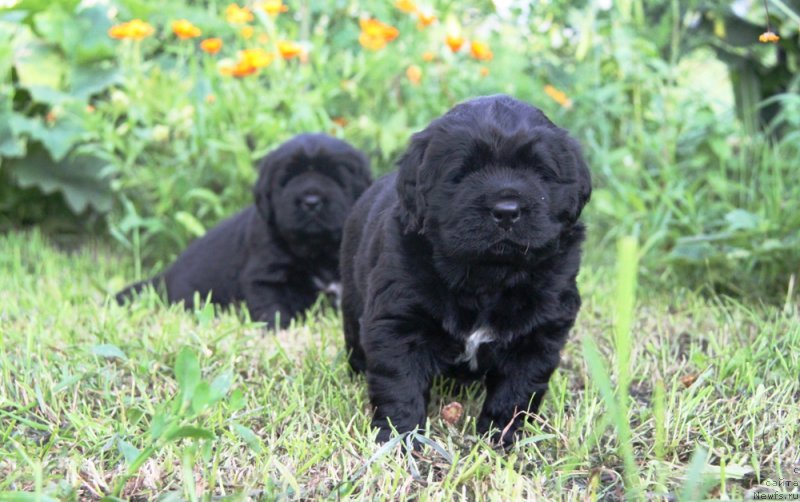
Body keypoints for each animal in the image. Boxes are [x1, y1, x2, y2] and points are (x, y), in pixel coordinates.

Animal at [117, 133, 374, 328]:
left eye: (337, 177)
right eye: (287, 180)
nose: (311, 201)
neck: (317, 249)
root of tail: (164, 276)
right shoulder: (266, 276)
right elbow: (273, 305)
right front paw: (279, 329)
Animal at [340, 94, 592, 444]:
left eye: (539, 171)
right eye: (463, 172)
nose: (506, 211)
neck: (488, 276)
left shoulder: (538, 332)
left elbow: (518, 389)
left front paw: (500, 439)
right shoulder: (398, 321)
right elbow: (399, 383)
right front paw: (399, 438)